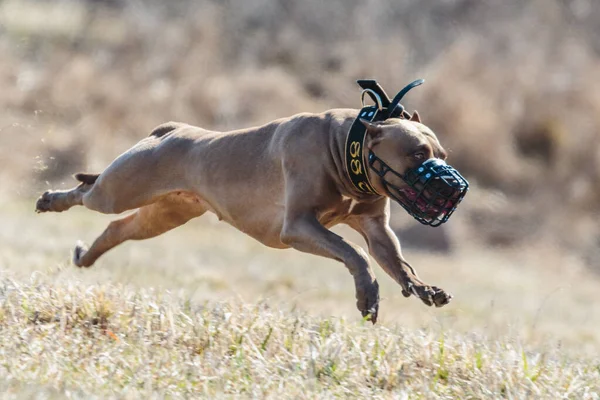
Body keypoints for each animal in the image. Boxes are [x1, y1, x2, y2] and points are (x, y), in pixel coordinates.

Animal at [35, 79, 468, 324]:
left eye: (442, 154)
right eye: (416, 154)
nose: (454, 188)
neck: (348, 148)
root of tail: (169, 130)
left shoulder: (376, 229)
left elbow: (396, 262)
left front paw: (422, 288)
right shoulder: (299, 226)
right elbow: (354, 254)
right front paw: (367, 297)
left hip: (161, 216)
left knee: (117, 228)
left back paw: (86, 257)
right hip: (119, 189)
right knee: (86, 193)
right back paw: (51, 200)